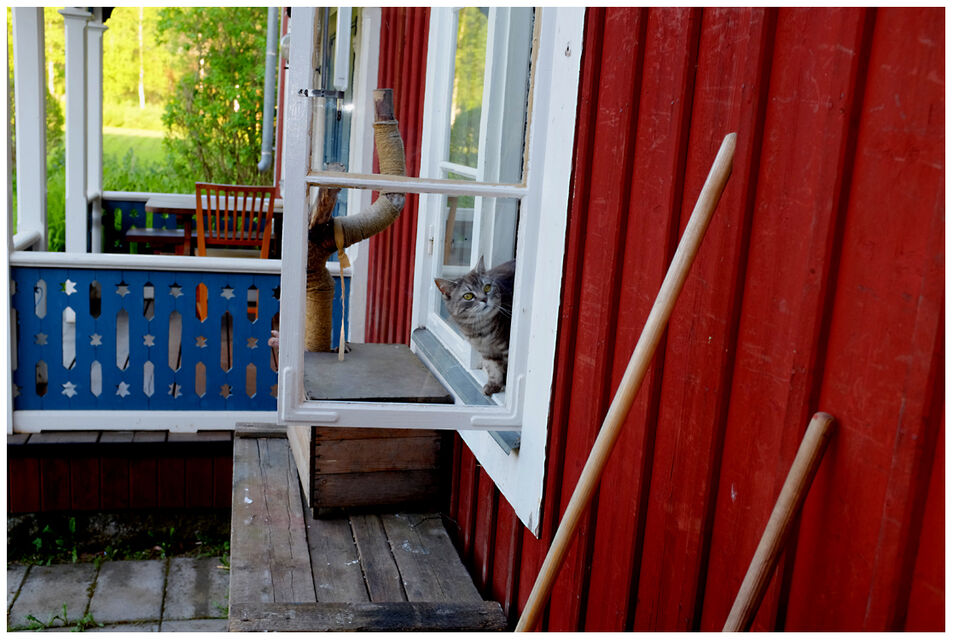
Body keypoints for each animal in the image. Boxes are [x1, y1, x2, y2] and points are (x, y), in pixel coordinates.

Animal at [435, 256, 515, 396]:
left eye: (487, 288)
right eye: (468, 296)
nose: (484, 299)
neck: (482, 329)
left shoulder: (507, 346)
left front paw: (504, 385)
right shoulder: (487, 352)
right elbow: (493, 368)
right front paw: (493, 385)